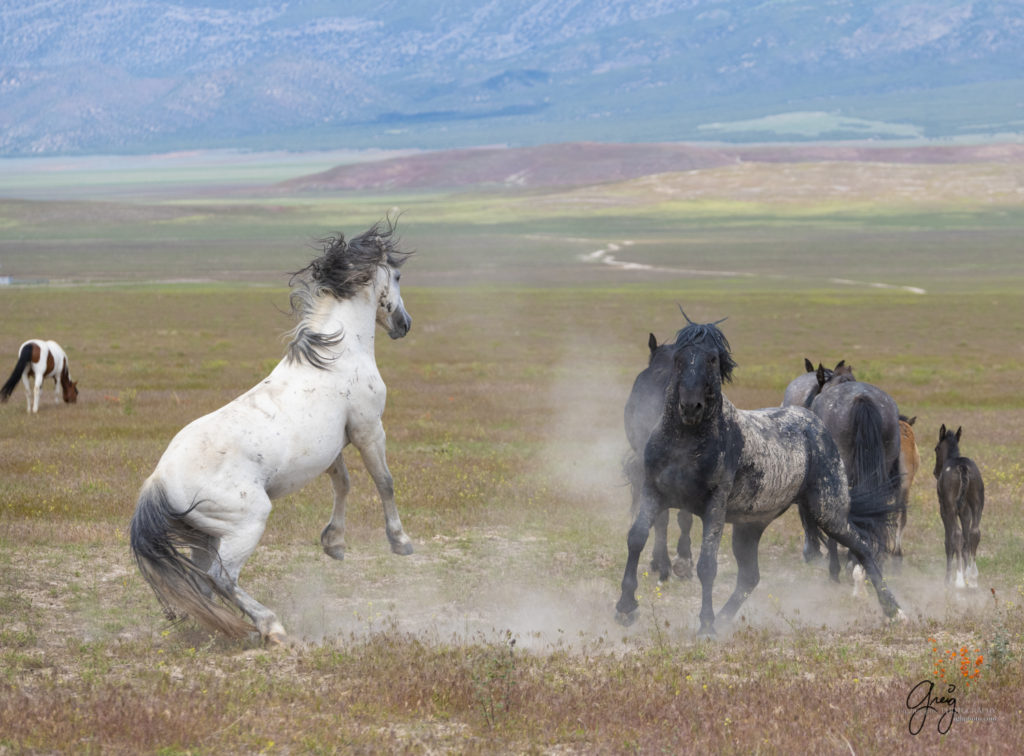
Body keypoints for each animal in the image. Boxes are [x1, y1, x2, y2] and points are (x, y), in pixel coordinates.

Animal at [130, 221, 413, 639]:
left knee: (200, 582)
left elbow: (343, 484)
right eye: (396, 276)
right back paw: (270, 626)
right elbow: (384, 481)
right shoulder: (368, 429)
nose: (403, 325)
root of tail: (158, 482)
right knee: (221, 578)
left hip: (206, 534)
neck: (339, 354)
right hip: (246, 524)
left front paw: (334, 543)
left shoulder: (332, 446)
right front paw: (400, 542)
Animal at [610, 315, 901, 635]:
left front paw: (705, 626)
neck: (686, 442)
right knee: (750, 577)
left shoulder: (714, 506)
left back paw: (894, 609)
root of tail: (813, 421)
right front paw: (625, 607)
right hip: (750, 527)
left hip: (828, 511)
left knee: (862, 546)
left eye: (712, 359)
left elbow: (707, 564)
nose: (690, 406)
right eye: (679, 359)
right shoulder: (654, 492)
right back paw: (724, 619)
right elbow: (637, 537)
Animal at [937, 422, 983, 585]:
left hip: (950, 507)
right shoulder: (965, 511)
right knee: (974, 532)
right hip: (977, 503)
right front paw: (966, 572)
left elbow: (948, 541)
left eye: (936, 448)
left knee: (956, 535)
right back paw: (973, 577)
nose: (935, 471)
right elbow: (965, 542)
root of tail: (962, 467)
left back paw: (959, 581)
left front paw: (947, 579)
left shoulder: (943, 510)